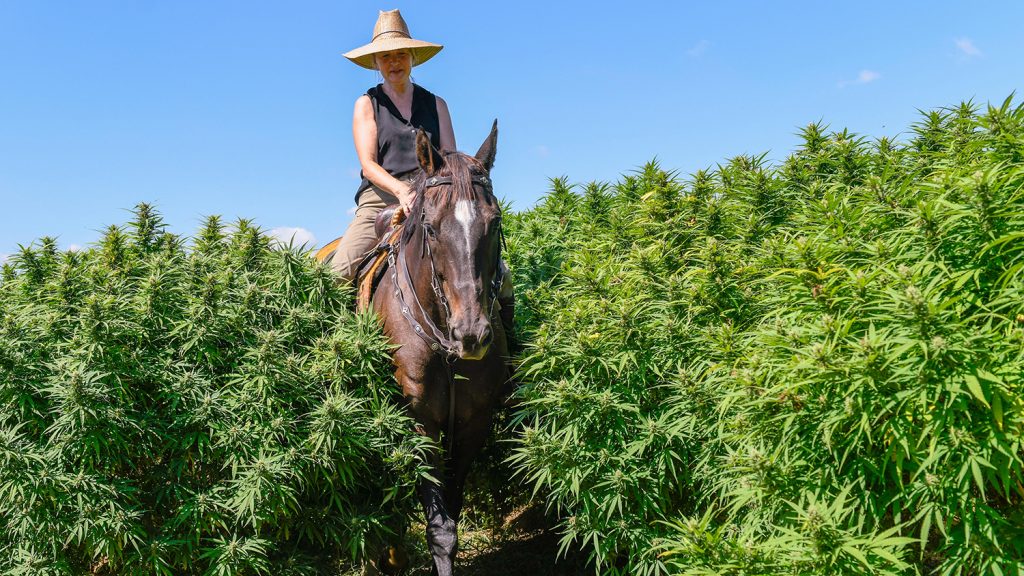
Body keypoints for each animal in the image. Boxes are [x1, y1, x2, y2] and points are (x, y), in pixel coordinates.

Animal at [325, 119, 509, 569]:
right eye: (430, 226)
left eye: (494, 222)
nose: (471, 334)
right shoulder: (418, 421)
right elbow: (440, 529)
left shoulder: (472, 424)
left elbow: (452, 513)